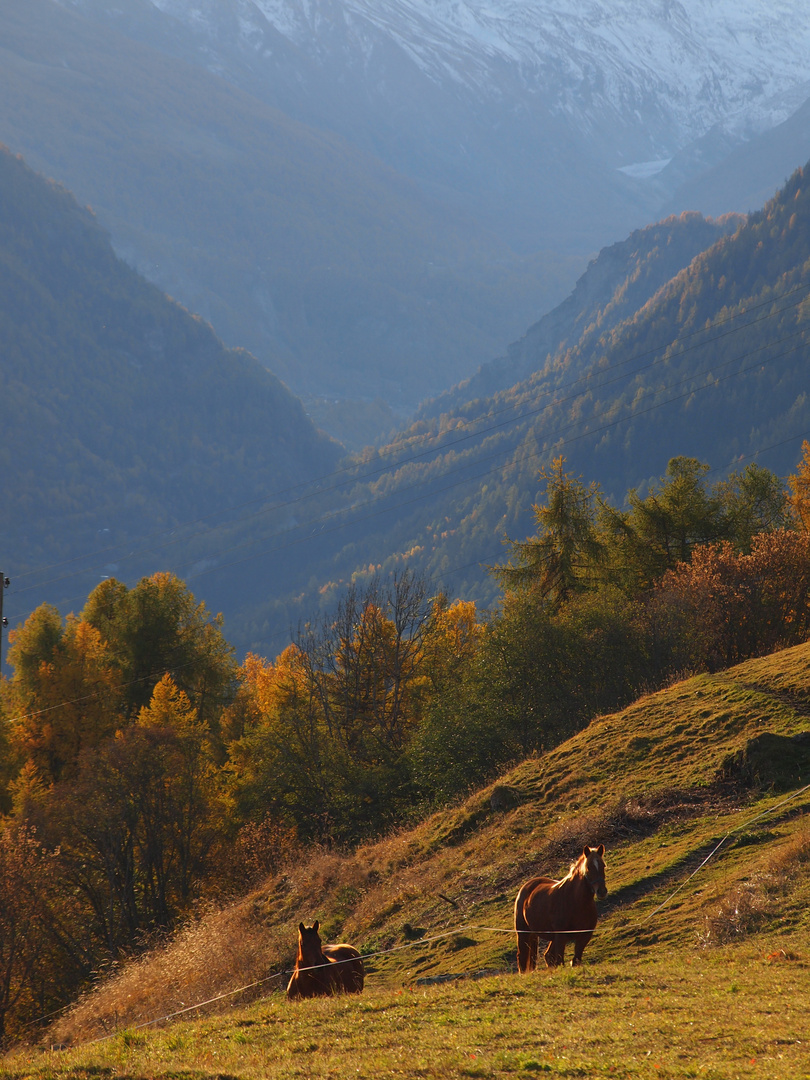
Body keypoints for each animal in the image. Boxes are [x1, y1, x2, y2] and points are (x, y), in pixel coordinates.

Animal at [514, 842, 609, 972]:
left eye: (603, 866)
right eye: (589, 867)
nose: (602, 892)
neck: (576, 902)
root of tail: (527, 886)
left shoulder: (584, 936)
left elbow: (575, 961)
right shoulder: (561, 937)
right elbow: (560, 961)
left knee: (547, 956)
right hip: (524, 933)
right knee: (523, 959)